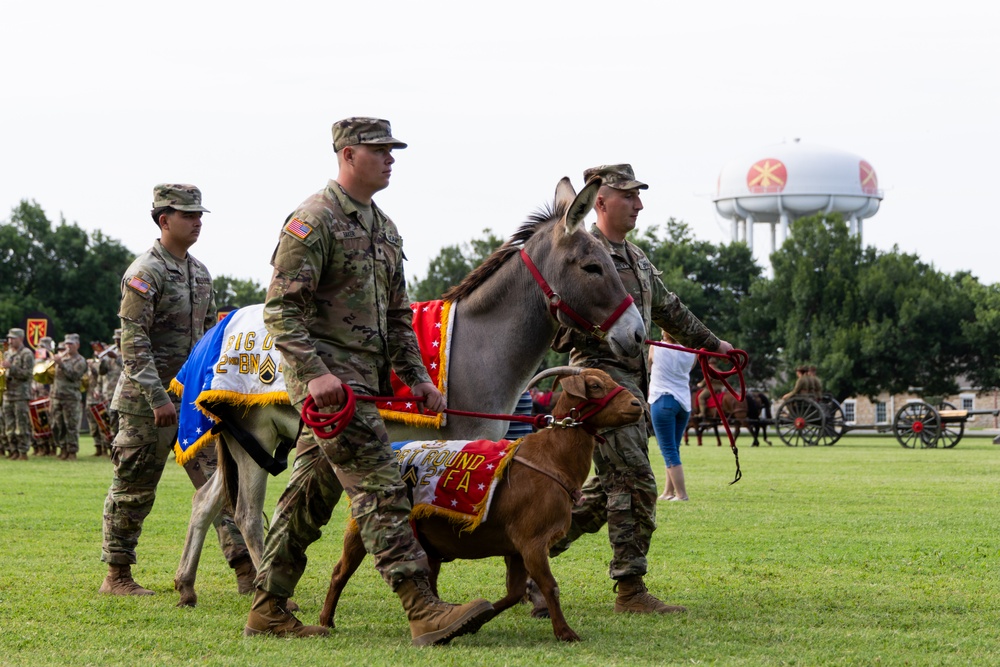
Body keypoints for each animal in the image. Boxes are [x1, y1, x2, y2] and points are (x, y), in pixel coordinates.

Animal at [324, 368, 644, 644]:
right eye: (596, 385)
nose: (637, 404)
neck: (552, 458)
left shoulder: (517, 548)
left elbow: (514, 593)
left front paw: (478, 619)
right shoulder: (532, 541)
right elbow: (550, 586)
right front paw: (566, 633)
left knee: (429, 576)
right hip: (363, 525)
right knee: (340, 571)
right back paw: (326, 622)